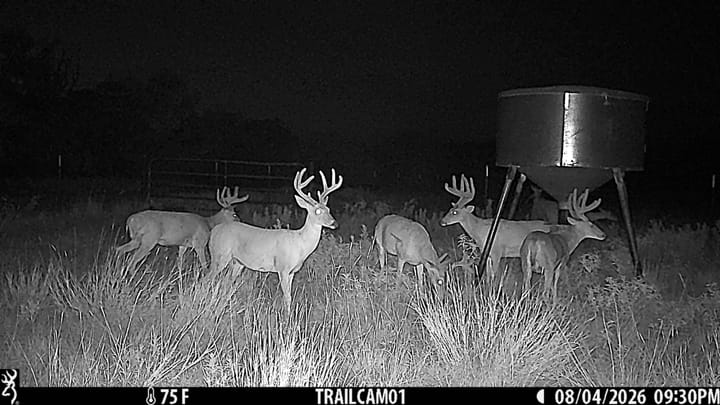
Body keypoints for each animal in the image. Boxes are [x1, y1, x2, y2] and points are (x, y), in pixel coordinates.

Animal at [116, 186, 248, 270]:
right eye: (234, 214)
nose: (240, 221)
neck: (208, 224)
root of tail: (130, 220)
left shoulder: (183, 244)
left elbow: (179, 262)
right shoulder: (199, 243)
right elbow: (204, 264)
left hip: (136, 239)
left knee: (119, 250)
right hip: (149, 239)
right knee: (132, 260)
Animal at [208, 168, 343, 312]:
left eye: (328, 209)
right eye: (317, 211)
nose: (334, 223)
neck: (300, 244)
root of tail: (213, 231)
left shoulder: (292, 271)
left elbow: (289, 296)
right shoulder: (282, 267)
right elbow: (287, 297)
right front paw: (287, 317)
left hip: (237, 262)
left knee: (225, 282)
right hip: (219, 255)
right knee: (208, 277)